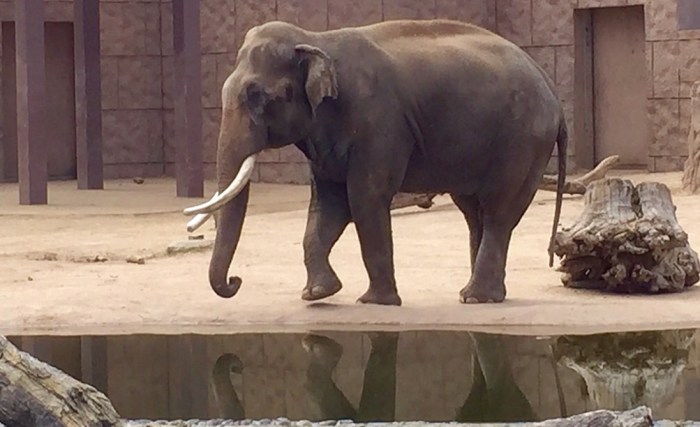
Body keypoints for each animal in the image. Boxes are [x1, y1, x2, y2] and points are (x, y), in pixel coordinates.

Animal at [183, 18, 567, 306]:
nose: (235, 281)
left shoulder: (379, 122)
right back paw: (478, 295)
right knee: (475, 212)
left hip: (523, 142)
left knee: (499, 209)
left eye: (257, 96)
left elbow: (364, 197)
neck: (315, 39)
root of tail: (554, 95)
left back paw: (476, 296)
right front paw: (317, 294)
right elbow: (329, 203)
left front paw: (375, 302)